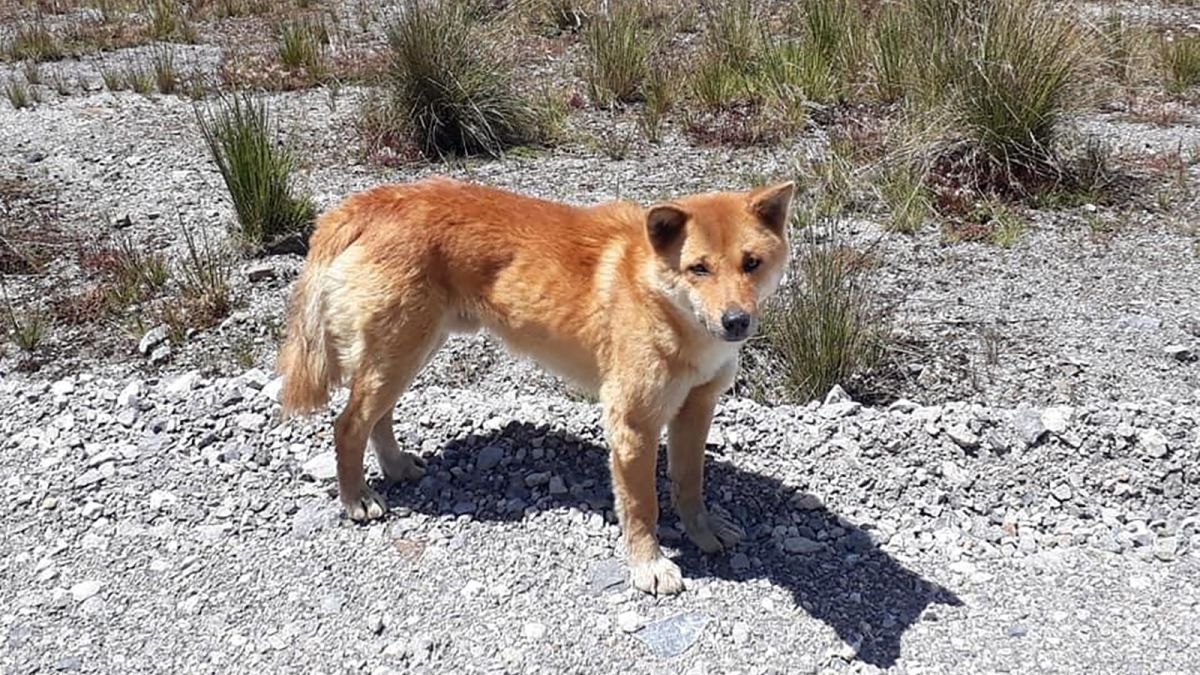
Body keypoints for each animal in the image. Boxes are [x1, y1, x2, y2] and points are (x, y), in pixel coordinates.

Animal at [276, 176, 792, 590]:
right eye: (698, 268)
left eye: (751, 263)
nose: (736, 322)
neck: (664, 304)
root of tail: (372, 200)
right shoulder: (633, 424)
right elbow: (642, 507)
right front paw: (649, 565)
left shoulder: (695, 410)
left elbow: (690, 484)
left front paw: (703, 532)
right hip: (397, 357)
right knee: (348, 426)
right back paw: (357, 497)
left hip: (408, 354)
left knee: (376, 420)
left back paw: (396, 466)